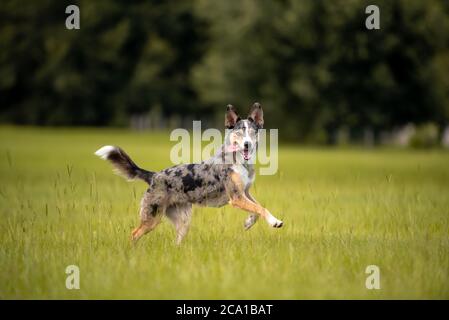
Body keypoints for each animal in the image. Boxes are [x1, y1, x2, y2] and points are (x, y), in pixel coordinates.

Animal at [95, 103, 284, 245]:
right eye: (238, 132)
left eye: (252, 132)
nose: (247, 144)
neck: (239, 161)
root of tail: (153, 176)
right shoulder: (236, 197)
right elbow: (261, 208)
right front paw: (274, 222)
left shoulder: (245, 192)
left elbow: (258, 208)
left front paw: (248, 223)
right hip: (152, 217)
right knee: (134, 234)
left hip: (183, 221)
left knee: (175, 240)